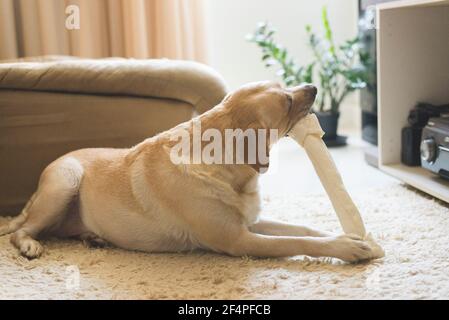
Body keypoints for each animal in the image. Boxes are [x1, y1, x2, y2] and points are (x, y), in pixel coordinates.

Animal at [0, 80, 372, 262]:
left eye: (286, 86)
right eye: (287, 102)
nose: (313, 87)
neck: (229, 171)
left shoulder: (249, 222)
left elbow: (303, 229)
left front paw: (350, 236)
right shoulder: (239, 240)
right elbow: (297, 241)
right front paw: (347, 248)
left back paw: (94, 237)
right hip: (65, 182)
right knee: (22, 231)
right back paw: (30, 245)